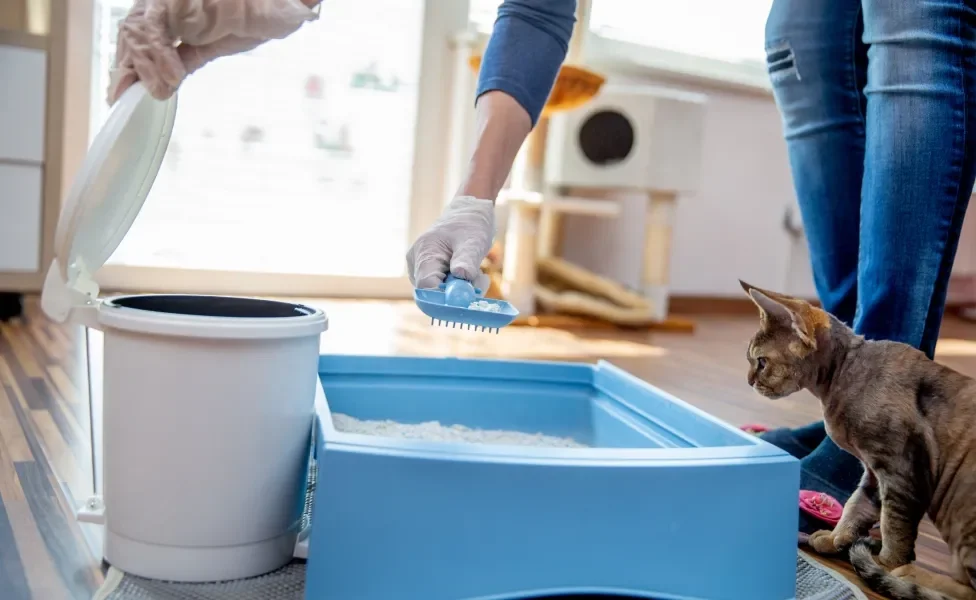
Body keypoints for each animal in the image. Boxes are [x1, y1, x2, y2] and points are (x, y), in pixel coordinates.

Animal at [740, 282, 976, 600]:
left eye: (761, 362)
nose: (749, 380)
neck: (843, 378)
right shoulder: (874, 473)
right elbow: (857, 504)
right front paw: (836, 537)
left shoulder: (901, 471)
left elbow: (894, 526)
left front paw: (887, 563)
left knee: (971, 590)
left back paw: (912, 575)